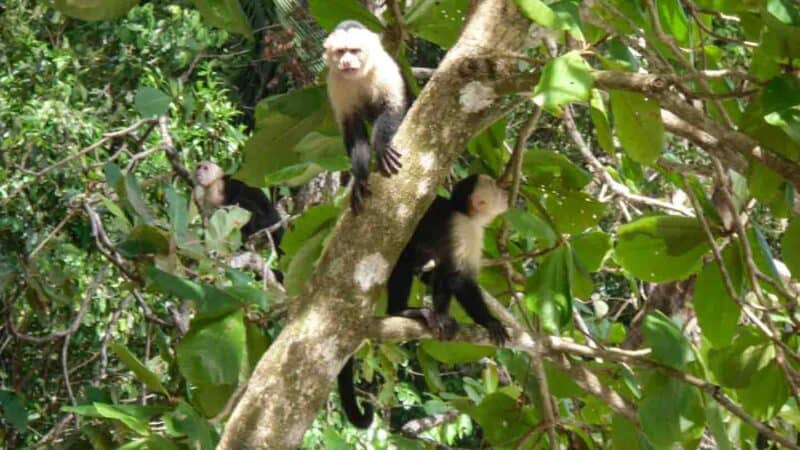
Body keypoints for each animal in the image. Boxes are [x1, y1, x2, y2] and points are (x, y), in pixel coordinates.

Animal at [322, 22, 410, 215]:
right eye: (341, 51)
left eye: (355, 51)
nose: (346, 61)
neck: (359, 76)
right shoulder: (335, 81)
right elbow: (352, 125)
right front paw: (360, 177)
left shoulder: (384, 67)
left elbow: (392, 106)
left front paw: (382, 147)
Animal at [336, 174, 510, 428]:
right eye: (495, 187)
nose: (505, 191)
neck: (464, 212)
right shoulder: (464, 230)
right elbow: (457, 279)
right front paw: (488, 321)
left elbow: (443, 276)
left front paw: (443, 317)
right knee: (404, 264)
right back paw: (402, 310)